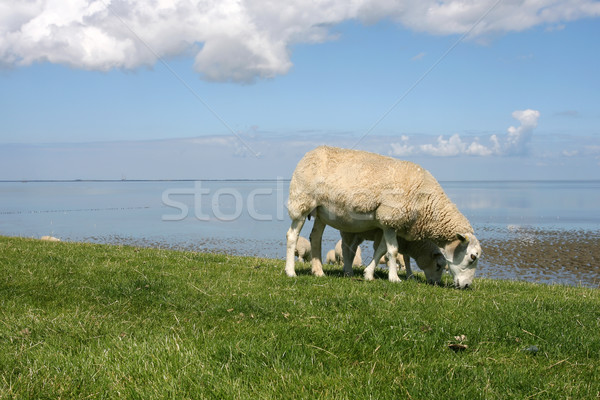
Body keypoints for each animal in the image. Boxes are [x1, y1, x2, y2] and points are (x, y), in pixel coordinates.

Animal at [286, 145, 482, 290]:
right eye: (473, 257)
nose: (466, 286)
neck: (426, 201)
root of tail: (309, 153)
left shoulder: (387, 224)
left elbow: (381, 250)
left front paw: (368, 274)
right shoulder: (390, 218)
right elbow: (392, 251)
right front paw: (394, 278)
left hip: (321, 211)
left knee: (316, 237)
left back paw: (318, 272)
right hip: (302, 200)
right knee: (292, 236)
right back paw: (290, 271)